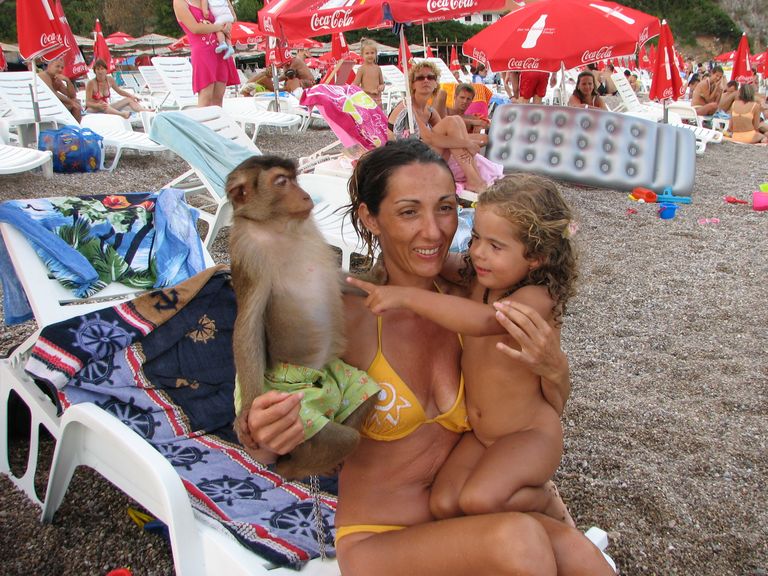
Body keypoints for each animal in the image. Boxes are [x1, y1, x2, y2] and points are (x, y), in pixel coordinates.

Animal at [226, 155, 379, 479]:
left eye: (295, 179)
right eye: (282, 182)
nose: (306, 196)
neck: (278, 225)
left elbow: (337, 278)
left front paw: (375, 283)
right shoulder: (247, 249)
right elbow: (248, 323)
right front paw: (247, 413)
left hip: (337, 380)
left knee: (365, 394)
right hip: (296, 406)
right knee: (343, 439)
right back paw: (292, 466)